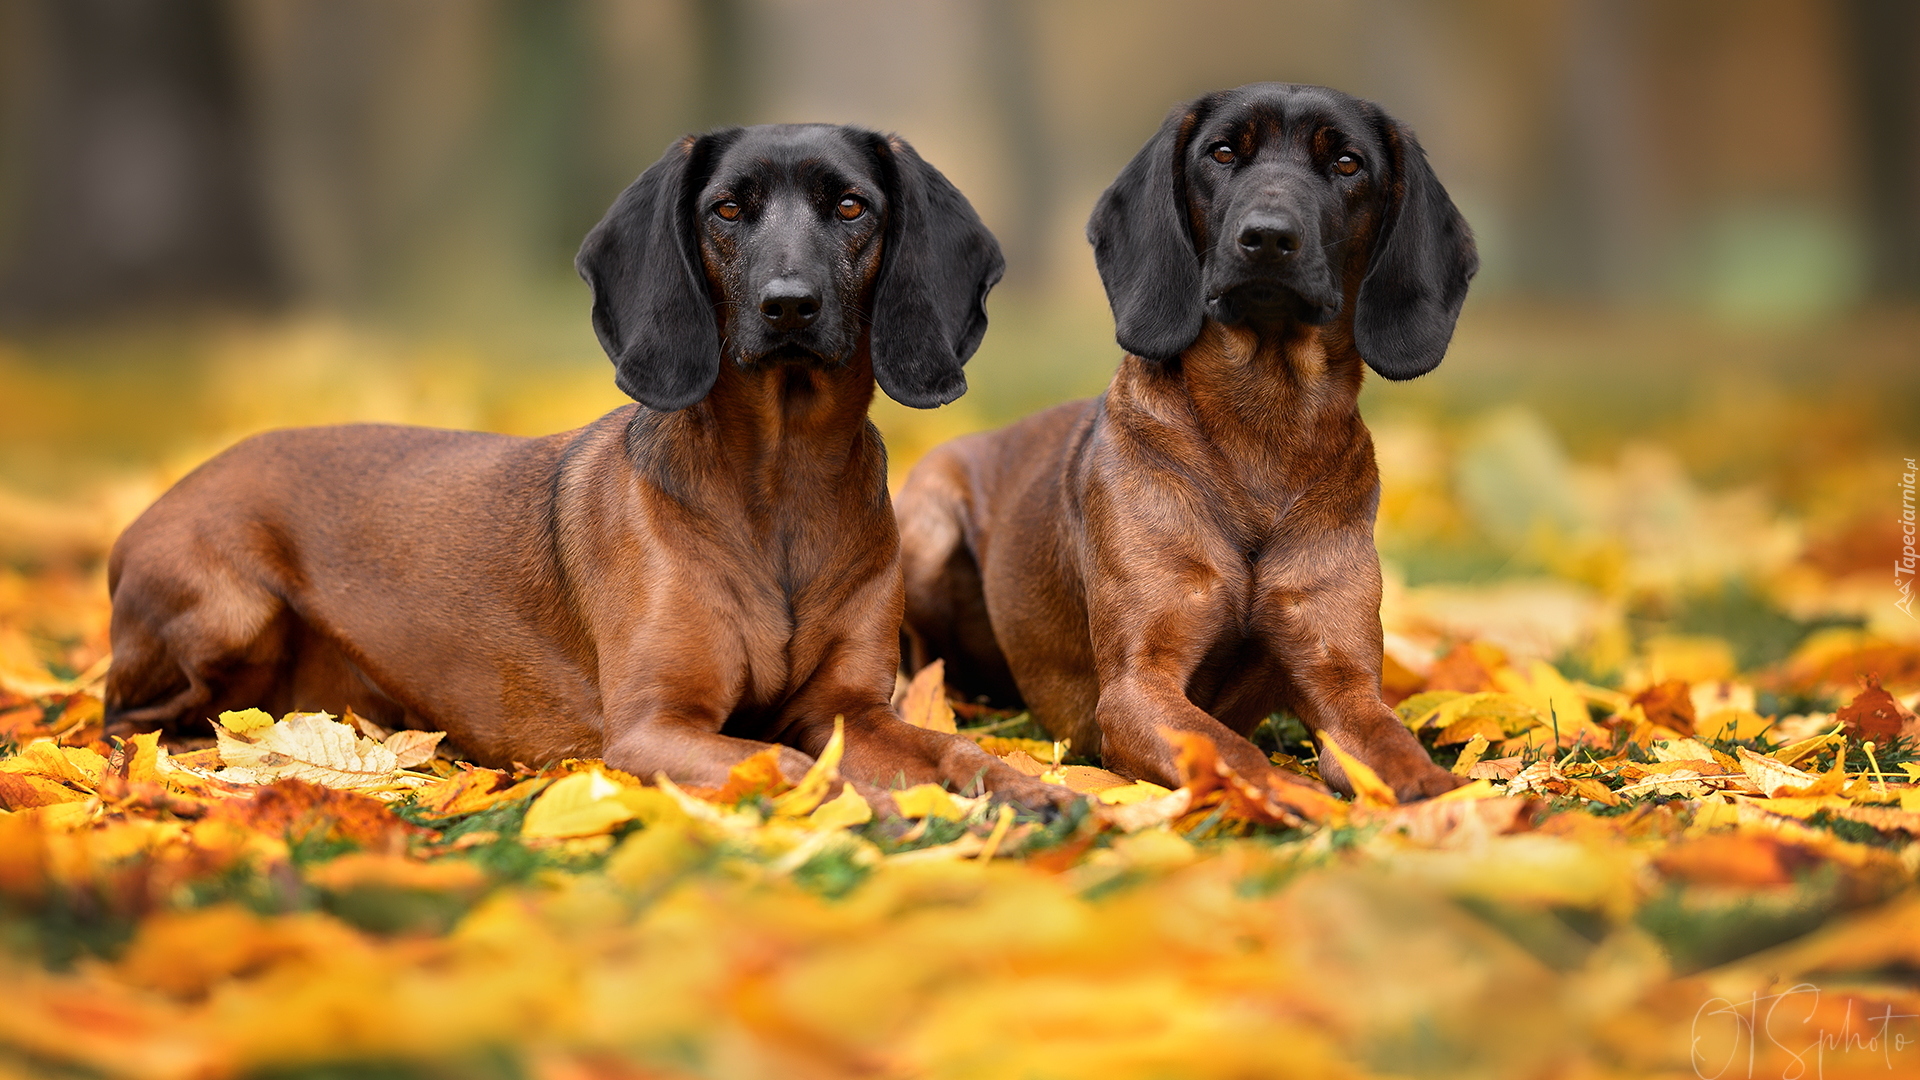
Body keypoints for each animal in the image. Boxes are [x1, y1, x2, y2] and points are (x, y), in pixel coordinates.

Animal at [108, 119, 1067, 807]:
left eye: (853, 208)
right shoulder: (653, 727)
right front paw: (879, 810)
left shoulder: (848, 709)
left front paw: (1027, 788)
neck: (783, 484)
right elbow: (798, 772)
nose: (788, 305)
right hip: (232, 615)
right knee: (133, 718)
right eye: (726, 210)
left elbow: (952, 743)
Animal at [898, 84, 1482, 799]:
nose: (1268, 237)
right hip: (928, 531)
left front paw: (1439, 798)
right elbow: (1242, 757)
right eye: (1223, 152)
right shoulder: (1137, 688)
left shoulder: (1343, 683)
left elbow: (1397, 752)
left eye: (1347, 164)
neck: (1265, 427)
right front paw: (1298, 798)